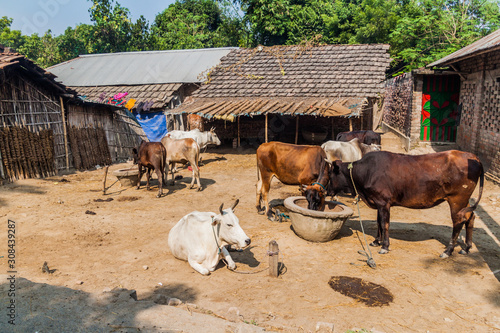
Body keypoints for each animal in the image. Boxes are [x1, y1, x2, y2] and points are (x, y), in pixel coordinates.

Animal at [326, 150, 482, 256]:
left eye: (330, 175)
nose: (327, 191)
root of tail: (472, 157)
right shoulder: (378, 202)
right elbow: (378, 222)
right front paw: (376, 241)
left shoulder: (383, 202)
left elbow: (384, 224)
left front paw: (385, 246)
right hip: (464, 201)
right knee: (470, 217)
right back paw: (466, 247)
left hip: (457, 200)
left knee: (458, 221)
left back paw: (448, 251)